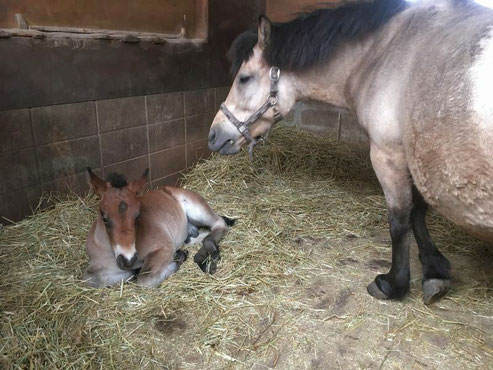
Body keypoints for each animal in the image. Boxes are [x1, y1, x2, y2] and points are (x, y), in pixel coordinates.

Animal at [83, 168, 234, 290]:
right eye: (104, 218)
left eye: (138, 215)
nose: (128, 259)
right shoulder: (94, 270)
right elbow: (95, 279)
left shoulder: (164, 248)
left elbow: (145, 279)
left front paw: (179, 257)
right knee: (198, 236)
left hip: (196, 209)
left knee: (219, 223)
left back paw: (207, 256)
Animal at [207, 0, 492, 304]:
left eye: (244, 78)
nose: (213, 136)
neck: (385, 55)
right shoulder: (411, 155)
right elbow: (418, 212)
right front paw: (434, 270)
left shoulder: (387, 153)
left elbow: (400, 220)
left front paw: (393, 284)